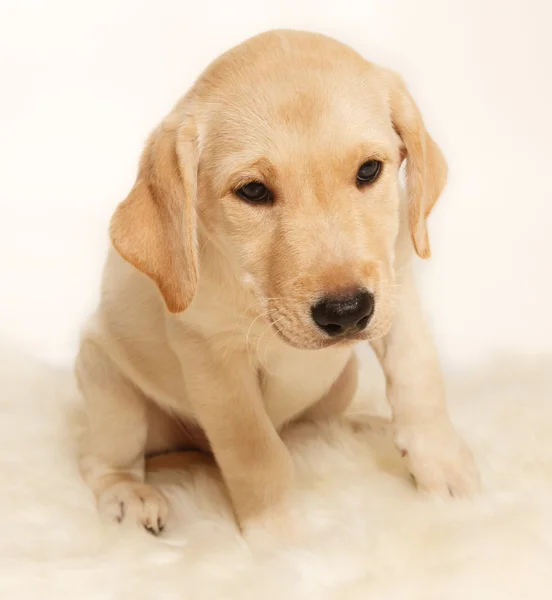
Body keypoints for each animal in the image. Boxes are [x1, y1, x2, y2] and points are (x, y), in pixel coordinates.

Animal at [75, 29, 480, 540]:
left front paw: (443, 468)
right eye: (253, 191)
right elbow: (256, 452)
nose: (347, 313)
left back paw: (360, 428)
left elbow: (419, 375)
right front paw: (279, 536)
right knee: (101, 461)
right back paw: (129, 494)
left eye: (369, 170)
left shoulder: (397, 291)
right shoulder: (213, 359)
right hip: (107, 385)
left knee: (312, 427)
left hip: (341, 382)